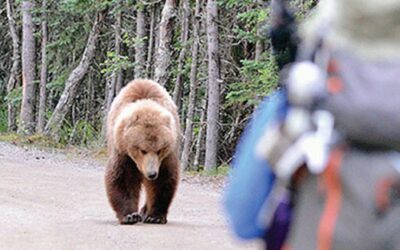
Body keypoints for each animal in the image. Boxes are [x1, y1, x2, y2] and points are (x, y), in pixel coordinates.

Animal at [106, 78, 181, 225]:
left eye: (159, 150)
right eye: (143, 150)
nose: (151, 173)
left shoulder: (166, 157)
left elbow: (162, 180)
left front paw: (155, 216)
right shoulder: (123, 151)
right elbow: (123, 178)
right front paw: (129, 215)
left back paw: (145, 211)